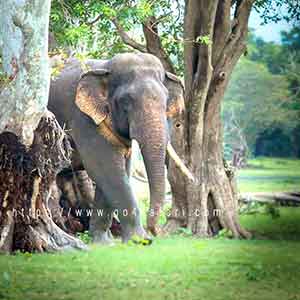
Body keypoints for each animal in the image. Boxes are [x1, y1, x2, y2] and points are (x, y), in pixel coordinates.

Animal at [47, 52, 192, 244]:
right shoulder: (83, 118)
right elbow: (104, 167)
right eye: (126, 101)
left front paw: (103, 243)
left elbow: (119, 169)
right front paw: (139, 241)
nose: (155, 233)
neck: (105, 66)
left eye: (166, 100)